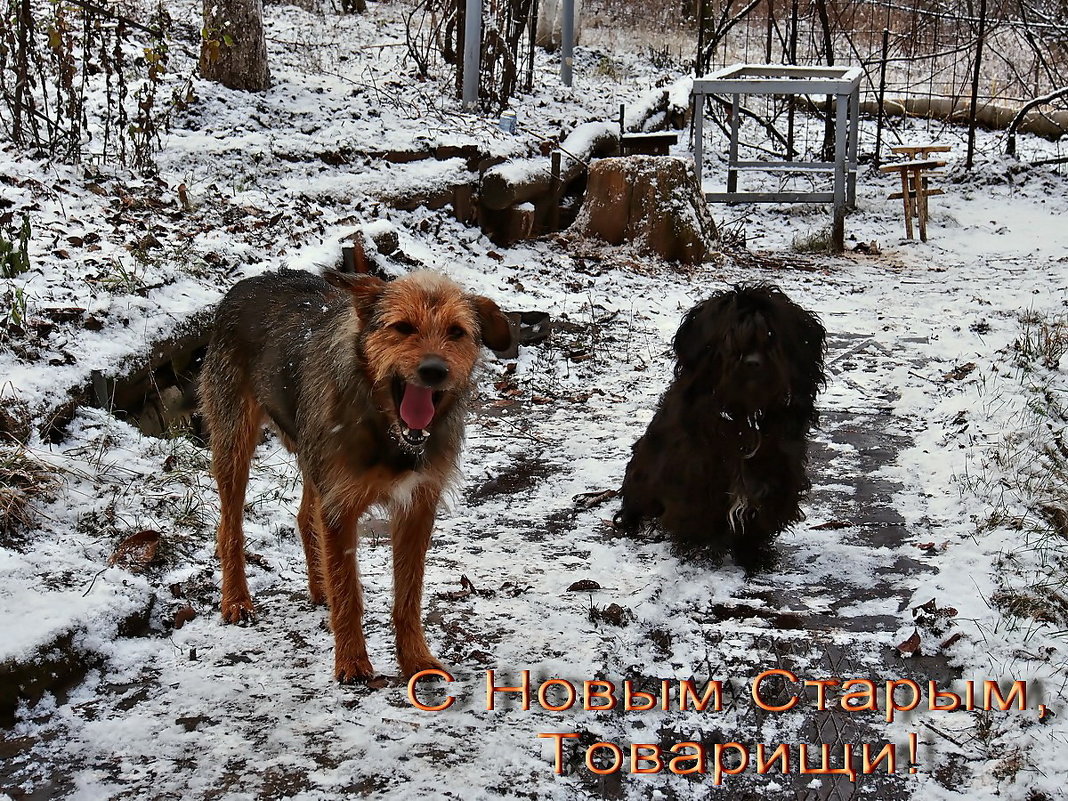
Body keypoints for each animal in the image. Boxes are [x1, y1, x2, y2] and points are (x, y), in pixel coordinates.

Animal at [200, 270, 516, 683]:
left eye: (456, 331)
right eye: (403, 327)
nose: (434, 371)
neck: (387, 430)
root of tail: (250, 281)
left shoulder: (416, 508)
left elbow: (408, 594)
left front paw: (416, 658)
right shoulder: (340, 507)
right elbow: (348, 590)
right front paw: (351, 662)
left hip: (313, 459)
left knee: (304, 517)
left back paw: (319, 588)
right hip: (234, 444)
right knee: (230, 527)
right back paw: (236, 599)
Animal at [615, 286, 828, 572]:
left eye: (770, 336)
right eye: (730, 338)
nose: (752, 362)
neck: (745, 418)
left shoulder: (777, 470)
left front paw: (755, 555)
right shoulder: (694, 474)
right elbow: (697, 515)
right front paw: (699, 554)